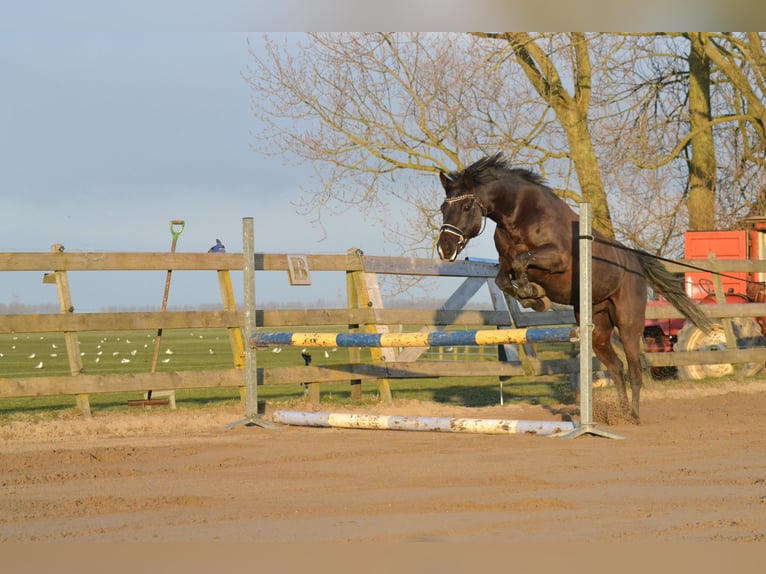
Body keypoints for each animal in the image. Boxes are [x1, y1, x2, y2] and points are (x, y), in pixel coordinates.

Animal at [438, 153, 712, 424]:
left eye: (465, 207)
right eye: (443, 208)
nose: (444, 249)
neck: (520, 217)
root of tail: (636, 262)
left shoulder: (556, 258)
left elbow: (522, 261)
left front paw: (534, 293)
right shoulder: (504, 265)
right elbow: (503, 280)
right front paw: (534, 297)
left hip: (628, 325)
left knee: (634, 369)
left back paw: (633, 416)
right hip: (597, 329)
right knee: (616, 368)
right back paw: (620, 413)